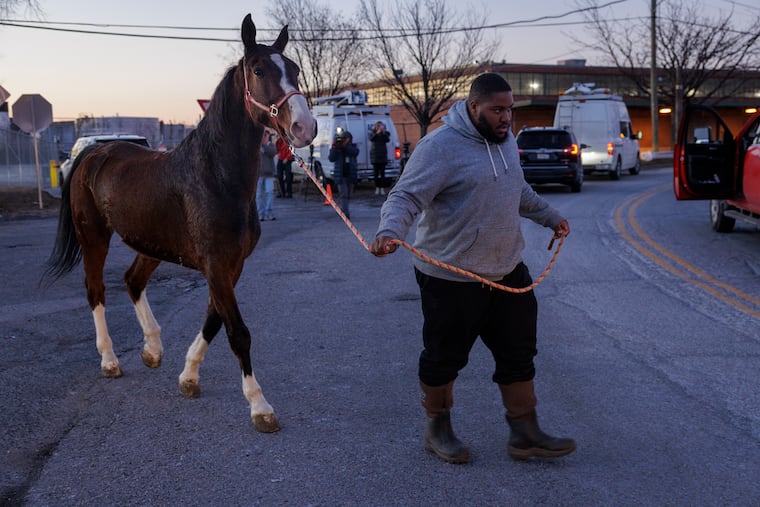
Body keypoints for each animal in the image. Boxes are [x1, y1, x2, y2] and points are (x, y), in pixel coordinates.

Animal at [43, 14, 316, 433]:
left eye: (295, 70)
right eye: (258, 70)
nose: (305, 127)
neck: (215, 177)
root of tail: (93, 151)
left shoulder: (231, 266)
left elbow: (214, 321)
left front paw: (188, 377)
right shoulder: (216, 265)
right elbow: (238, 332)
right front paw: (260, 406)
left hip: (149, 243)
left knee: (132, 281)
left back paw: (153, 350)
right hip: (94, 237)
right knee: (96, 290)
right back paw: (110, 360)